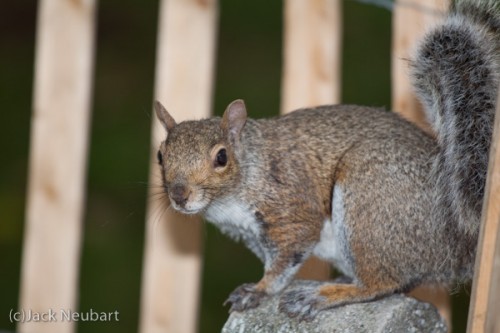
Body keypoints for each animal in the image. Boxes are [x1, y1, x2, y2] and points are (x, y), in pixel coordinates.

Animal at [154, 0, 498, 322]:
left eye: (222, 157)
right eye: (160, 155)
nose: (179, 195)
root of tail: (458, 243)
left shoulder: (291, 208)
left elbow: (285, 261)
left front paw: (259, 290)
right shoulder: (252, 233)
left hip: (369, 199)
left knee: (380, 284)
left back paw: (322, 295)